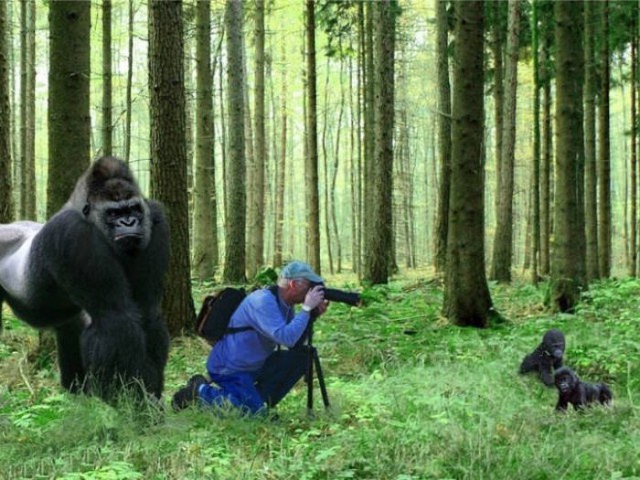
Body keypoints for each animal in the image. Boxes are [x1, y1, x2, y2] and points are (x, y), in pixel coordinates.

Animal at [0, 157, 170, 402]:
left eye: (134, 209)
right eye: (113, 214)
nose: (129, 222)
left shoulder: (155, 216)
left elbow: (147, 311)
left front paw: (150, 395)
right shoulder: (73, 232)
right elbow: (115, 318)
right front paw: (133, 400)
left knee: (71, 328)